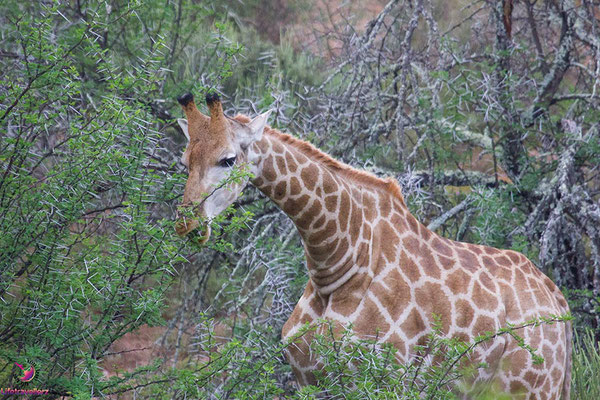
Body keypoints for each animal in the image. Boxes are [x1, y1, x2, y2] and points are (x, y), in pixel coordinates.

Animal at [173, 92, 572, 398]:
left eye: (228, 159)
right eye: (184, 161)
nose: (187, 225)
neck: (337, 260)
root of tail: (557, 300)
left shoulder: (381, 379)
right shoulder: (310, 380)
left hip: (530, 388)